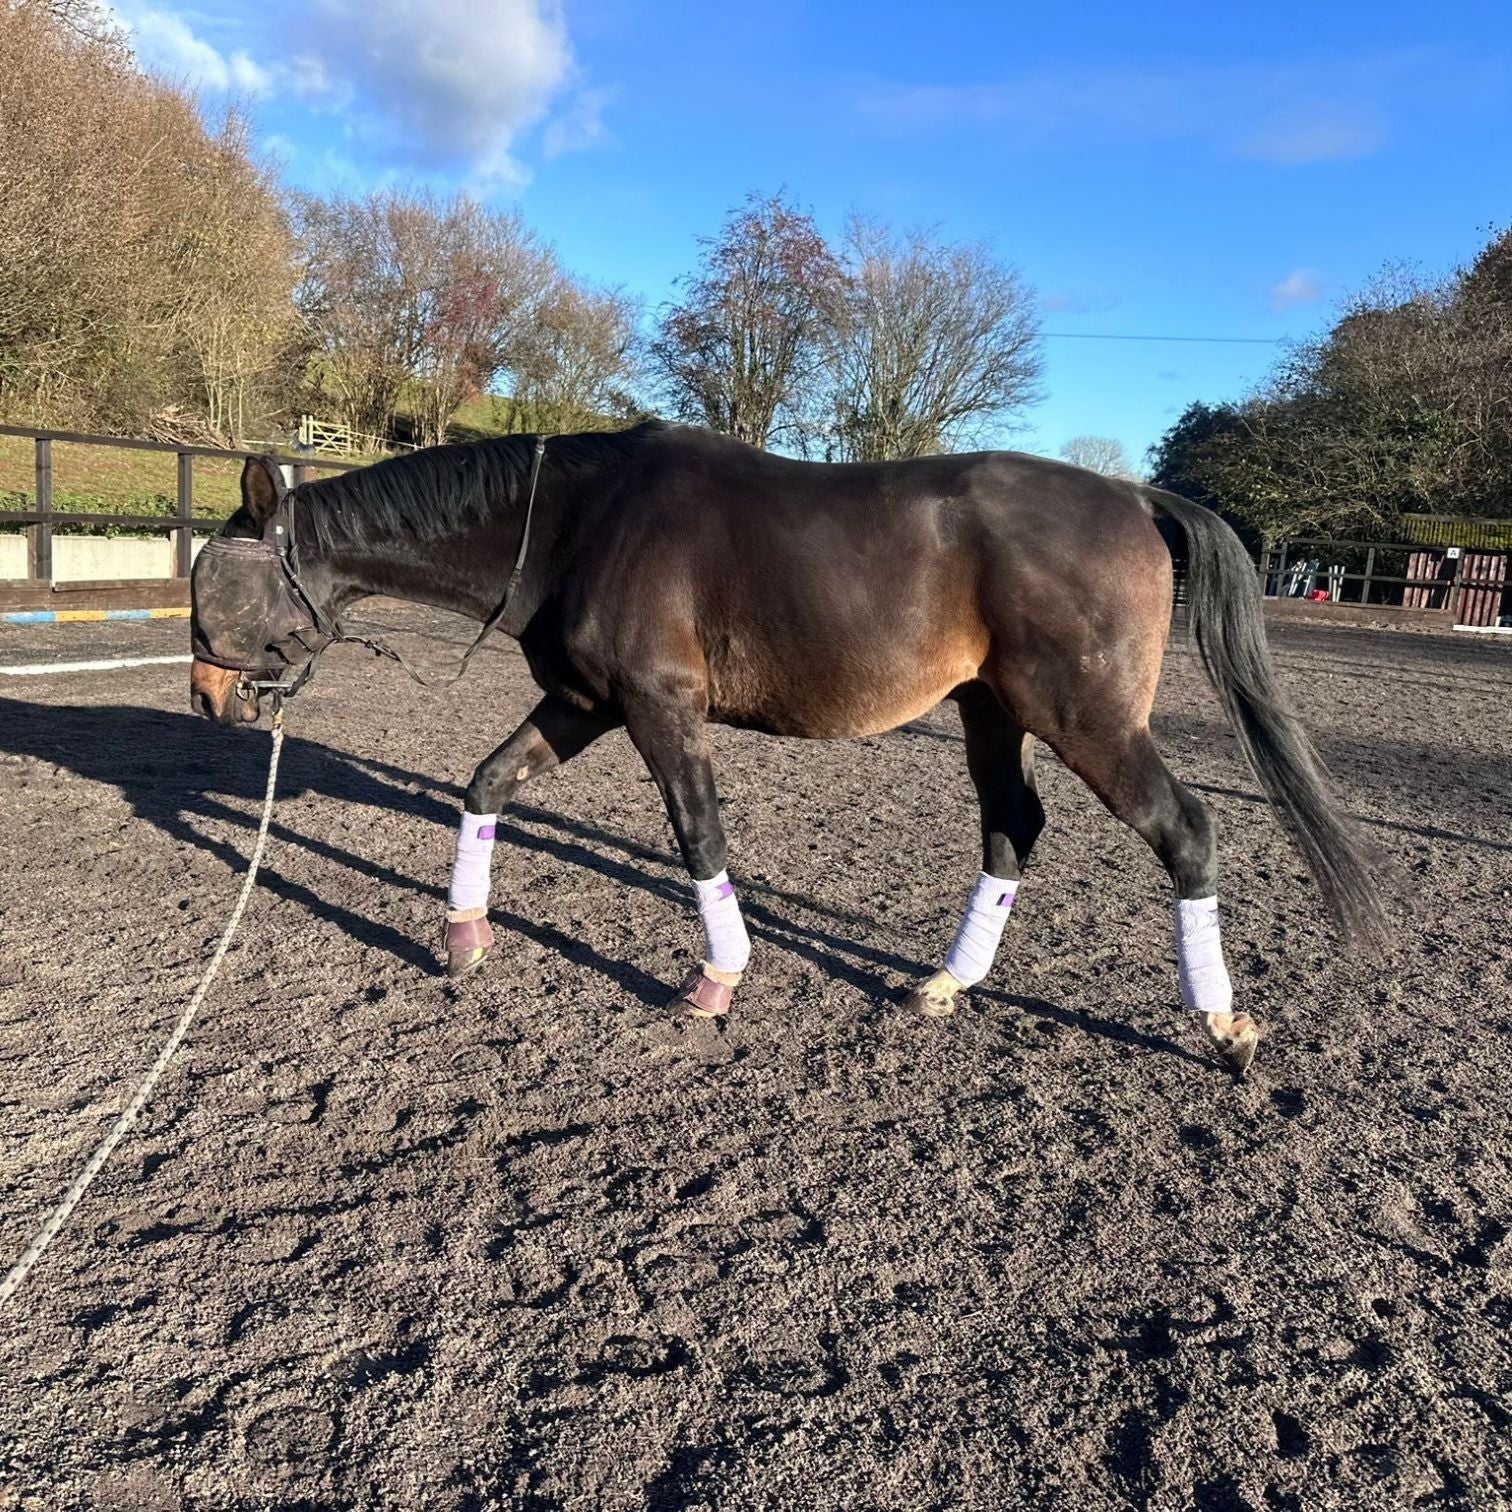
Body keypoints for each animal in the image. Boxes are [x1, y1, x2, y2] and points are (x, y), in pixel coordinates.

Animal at [189, 421, 1386, 1074]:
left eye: (219, 587)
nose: (207, 698)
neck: (578, 521)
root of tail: (1134, 496)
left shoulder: (658, 709)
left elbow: (698, 837)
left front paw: (716, 981)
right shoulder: (582, 703)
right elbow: (485, 784)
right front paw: (463, 938)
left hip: (1086, 718)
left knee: (1185, 831)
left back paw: (1221, 1023)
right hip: (991, 710)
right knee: (1012, 829)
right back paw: (945, 985)